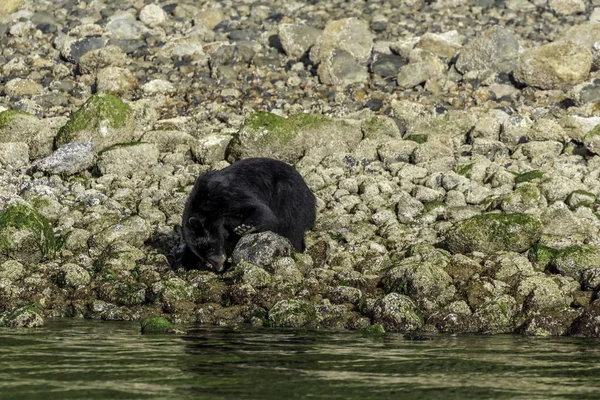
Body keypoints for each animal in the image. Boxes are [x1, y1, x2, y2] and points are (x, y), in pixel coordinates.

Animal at [177, 156, 316, 272]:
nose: (220, 267)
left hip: (289, 198)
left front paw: (245, 228)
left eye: (210, 247)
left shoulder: (225, 195)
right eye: (203, 256)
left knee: (291, 228)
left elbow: (259, 210)